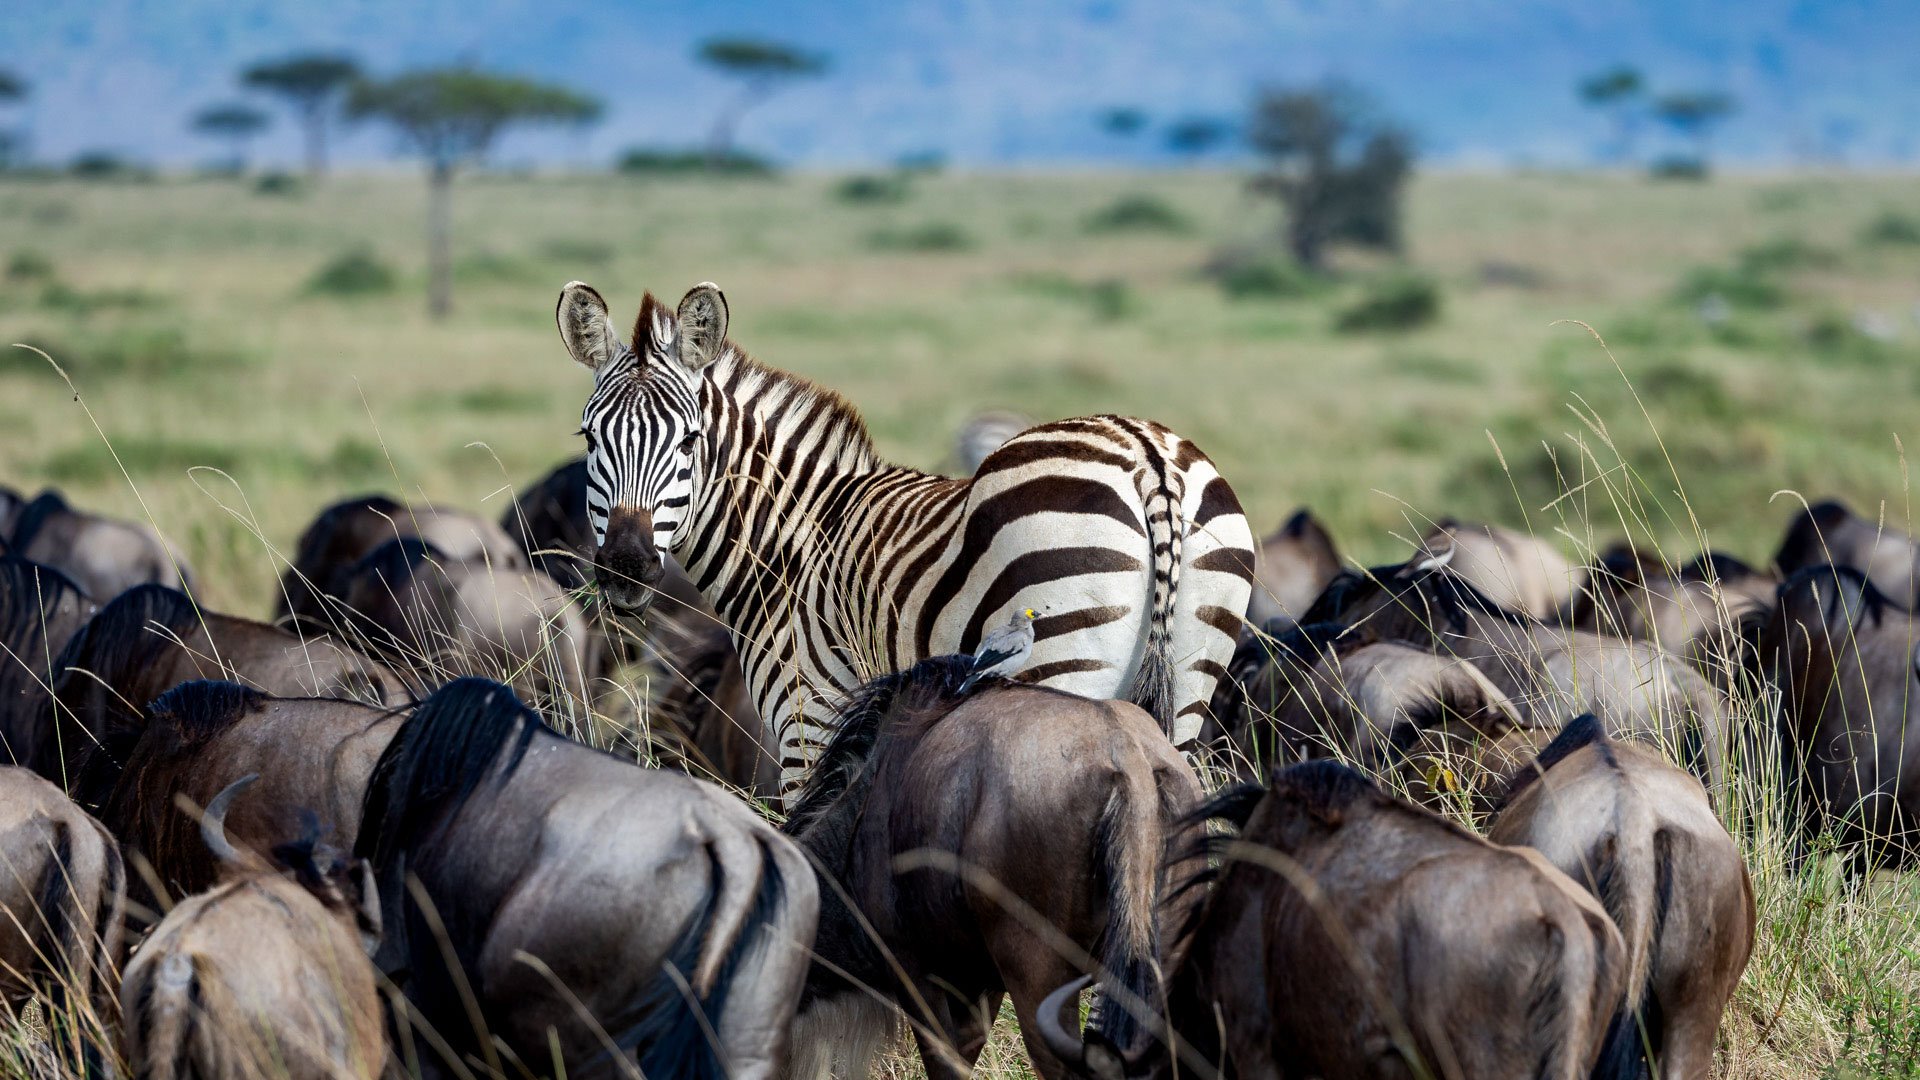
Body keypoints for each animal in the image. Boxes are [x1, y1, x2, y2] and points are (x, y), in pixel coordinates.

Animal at [552, 276, 1259, 780]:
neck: (791, 543)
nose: (626, 566)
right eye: (589, 438)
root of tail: (1148, 456)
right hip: (1190, 680)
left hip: (1062, 662)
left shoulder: (809, 720)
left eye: (690, 441)